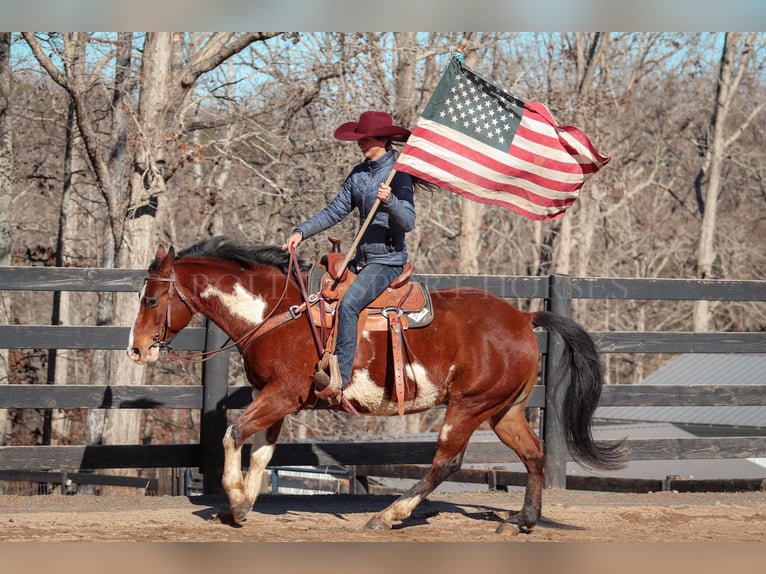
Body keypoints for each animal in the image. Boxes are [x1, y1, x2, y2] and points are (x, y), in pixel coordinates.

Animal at [127, 237, 632, 536]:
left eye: (151, 298)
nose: (135, 349)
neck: (277, 312)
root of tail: (524, 318)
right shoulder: (277, 399)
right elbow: (262, 453)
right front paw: (243, 506)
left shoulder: (280, 395)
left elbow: (234, 435)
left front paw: (232, 497)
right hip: (504, 411)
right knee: (533, 454)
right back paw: (524, 521)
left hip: (468, 407)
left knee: (446, 462)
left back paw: (389, 515)